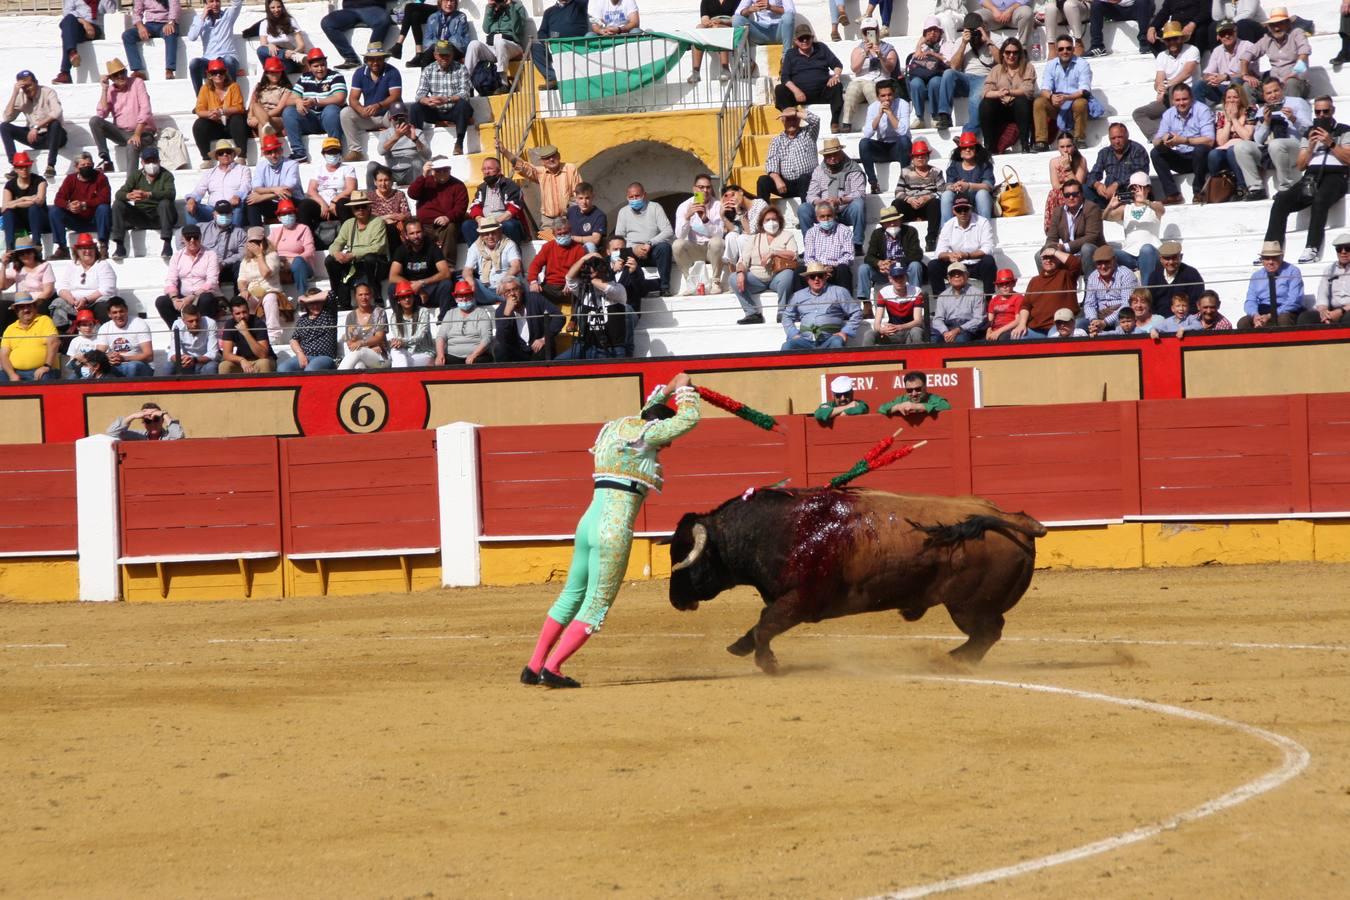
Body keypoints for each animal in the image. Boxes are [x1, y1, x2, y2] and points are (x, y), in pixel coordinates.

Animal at [669, 485, 1047, 674]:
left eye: (685, 557)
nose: (675, 599)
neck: (777, 531)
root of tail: (1014, 519)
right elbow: (760, 624)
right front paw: (740, 647)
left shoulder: (800, 601)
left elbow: (767, 624)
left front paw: (768, 663)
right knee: (988, 634)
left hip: (967, 606)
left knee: (987, 633)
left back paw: (951, 660)